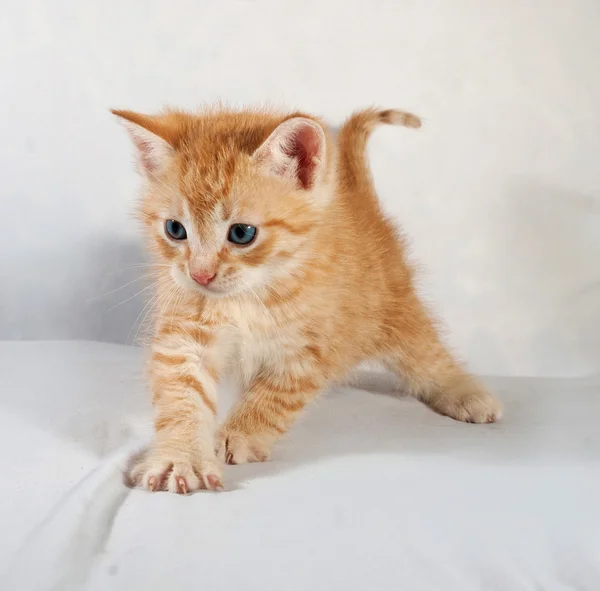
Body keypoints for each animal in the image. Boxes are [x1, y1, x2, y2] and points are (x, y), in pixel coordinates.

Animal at [113, 105, 502, 494]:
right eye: (175, 230)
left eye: (242, 233)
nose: (200, 274)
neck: (250, 294)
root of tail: (362, 205)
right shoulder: (184, 333)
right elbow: (181, 394)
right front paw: (180, 456)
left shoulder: (312, 350)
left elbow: (273, 398)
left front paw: (237, 435)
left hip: (395, 306)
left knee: (426, 354)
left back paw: (466, 393)